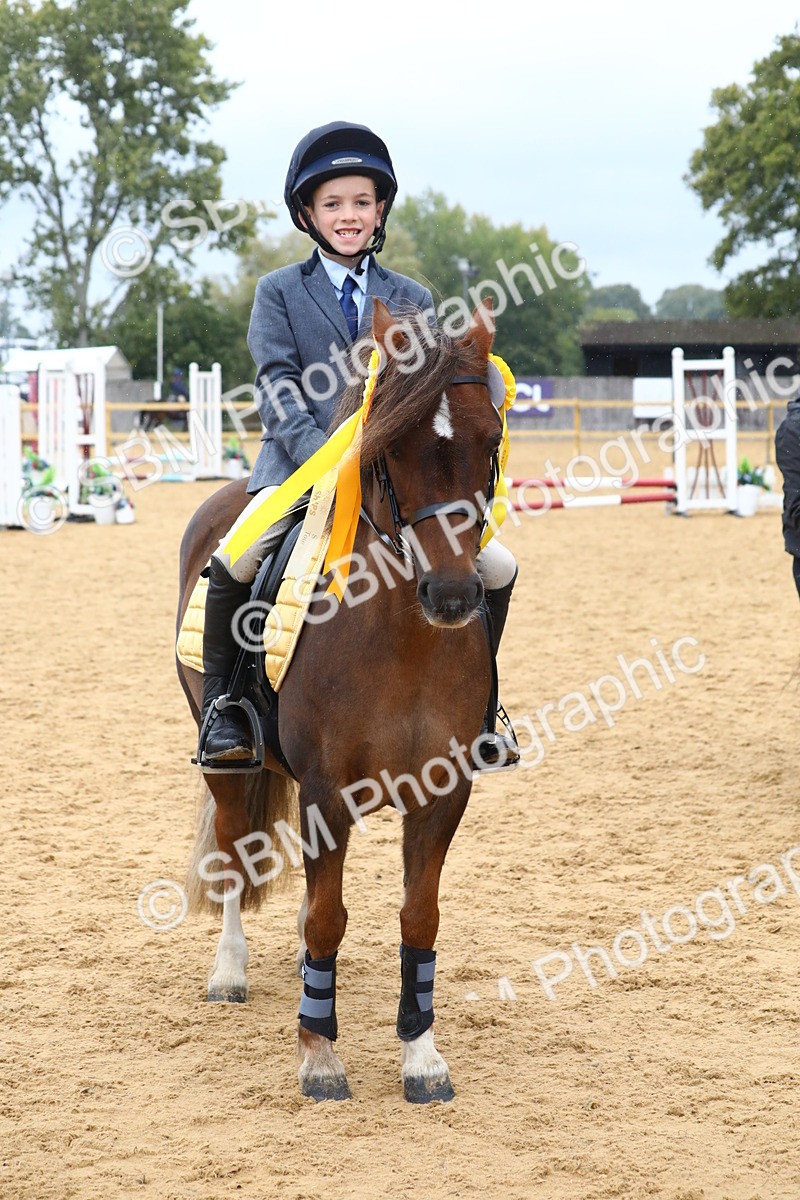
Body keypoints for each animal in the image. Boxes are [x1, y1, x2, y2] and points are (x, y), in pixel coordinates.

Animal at [176, 298, 507, 1103]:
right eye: (392, 443)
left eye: (489, 440)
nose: (453, 596)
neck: (404, 640)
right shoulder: (328, 790)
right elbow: (328, 917)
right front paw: (320, 1055)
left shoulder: (442, 792)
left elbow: (419, 917)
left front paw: (421, 1055)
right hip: (225, 760)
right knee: (233, 850)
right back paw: (229, 972)